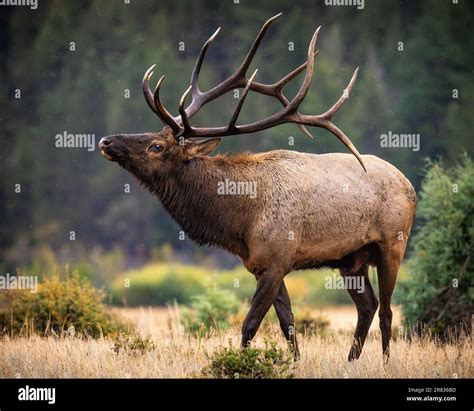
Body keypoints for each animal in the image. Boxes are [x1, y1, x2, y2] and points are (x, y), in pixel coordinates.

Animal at [99, 13, 414, 360]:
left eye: (156, 146)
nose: (107, 141)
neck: (240, 221)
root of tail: (409, 183)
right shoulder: (262, 264)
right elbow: (288, 323)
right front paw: (295, 362)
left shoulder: (276, 261)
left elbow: (250, 324)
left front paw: (242, 361)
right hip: (351, 260)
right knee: (367, 306)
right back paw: (350, 362)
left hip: (392, 244)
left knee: (386, 311)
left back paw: (384, 362)